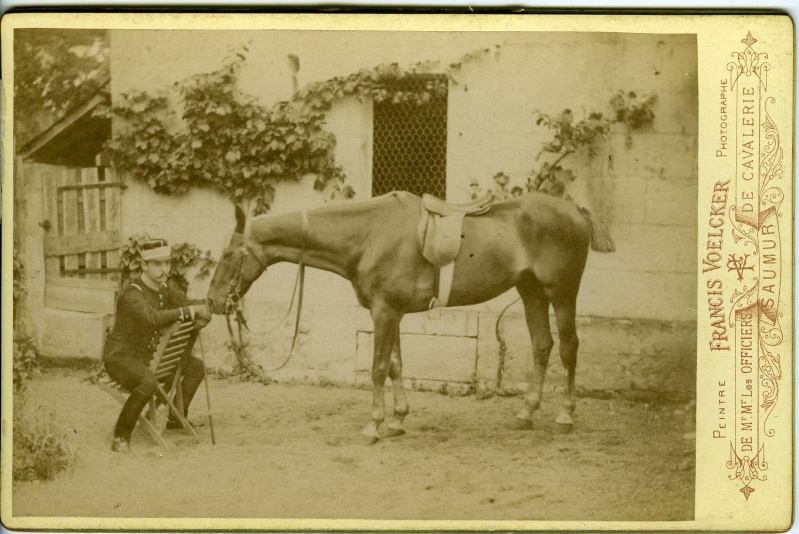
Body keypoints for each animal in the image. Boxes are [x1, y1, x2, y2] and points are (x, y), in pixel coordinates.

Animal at [205, 192, 612, 444]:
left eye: (228, 254)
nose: (212, 302)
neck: (368, 234)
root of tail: (575, 210)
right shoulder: (392, 312)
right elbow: (396, 365)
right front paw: (398, 419)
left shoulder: (384, 312)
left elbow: (377, 368)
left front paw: (373, 426)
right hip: (531, 292)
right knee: (542, 345)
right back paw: (525, 413)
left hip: (561, 292)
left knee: (569, 348)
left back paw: (565, 417)